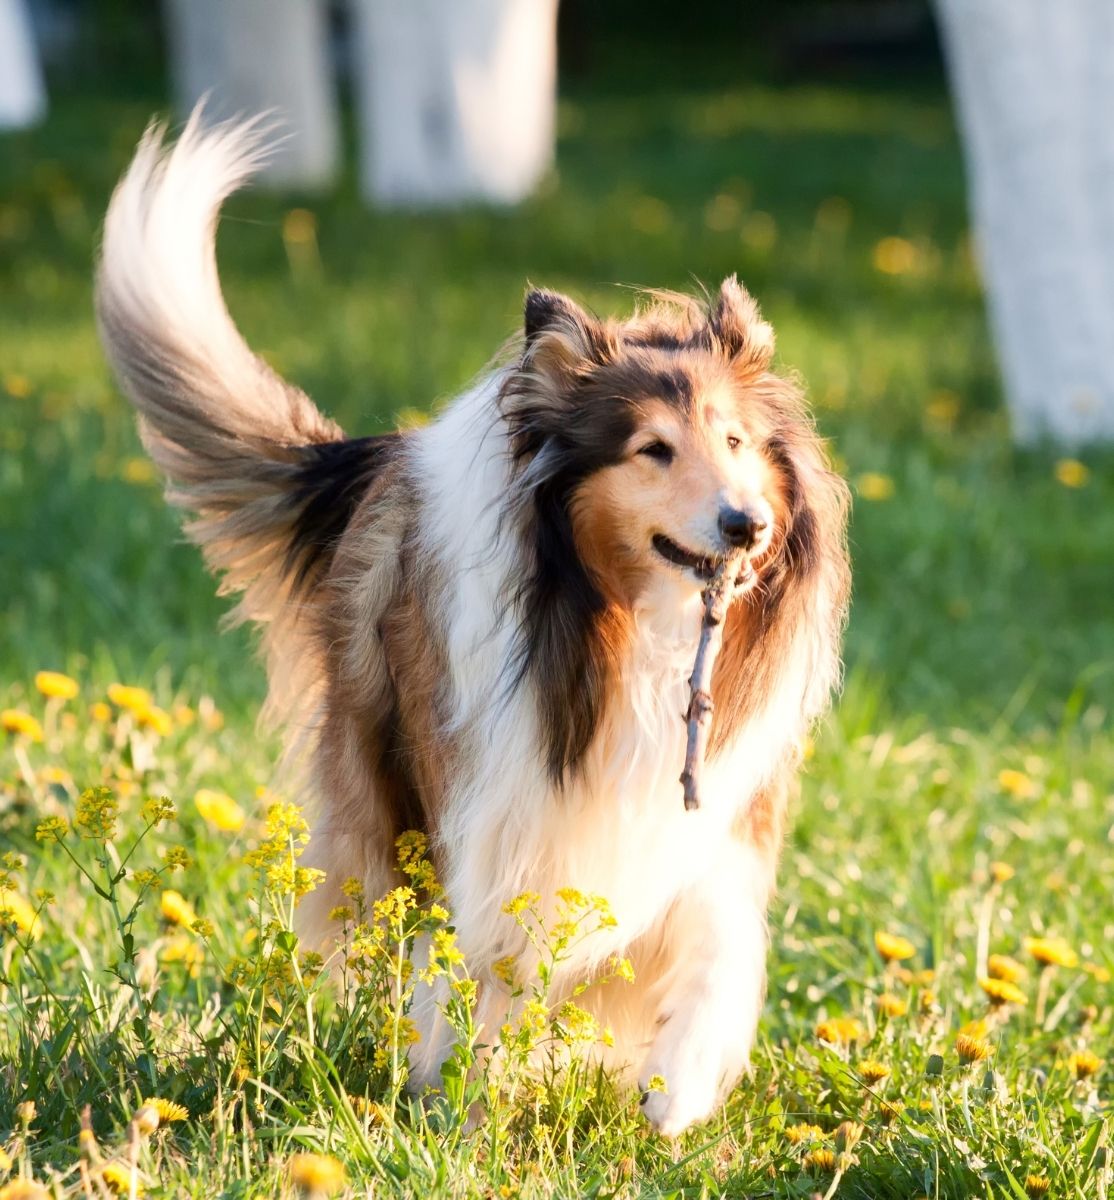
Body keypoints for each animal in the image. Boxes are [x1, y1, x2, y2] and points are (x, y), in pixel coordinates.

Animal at [97, 112, 854, 1132]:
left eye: (735, 440)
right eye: (653, 449)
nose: (748, 526)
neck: (627, 629)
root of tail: (375, 458)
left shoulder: (713, 821)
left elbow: (711, 953)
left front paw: (673, 1099)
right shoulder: (495, 808)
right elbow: (481, 966)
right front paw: (461, 1099)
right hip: (384, 774)